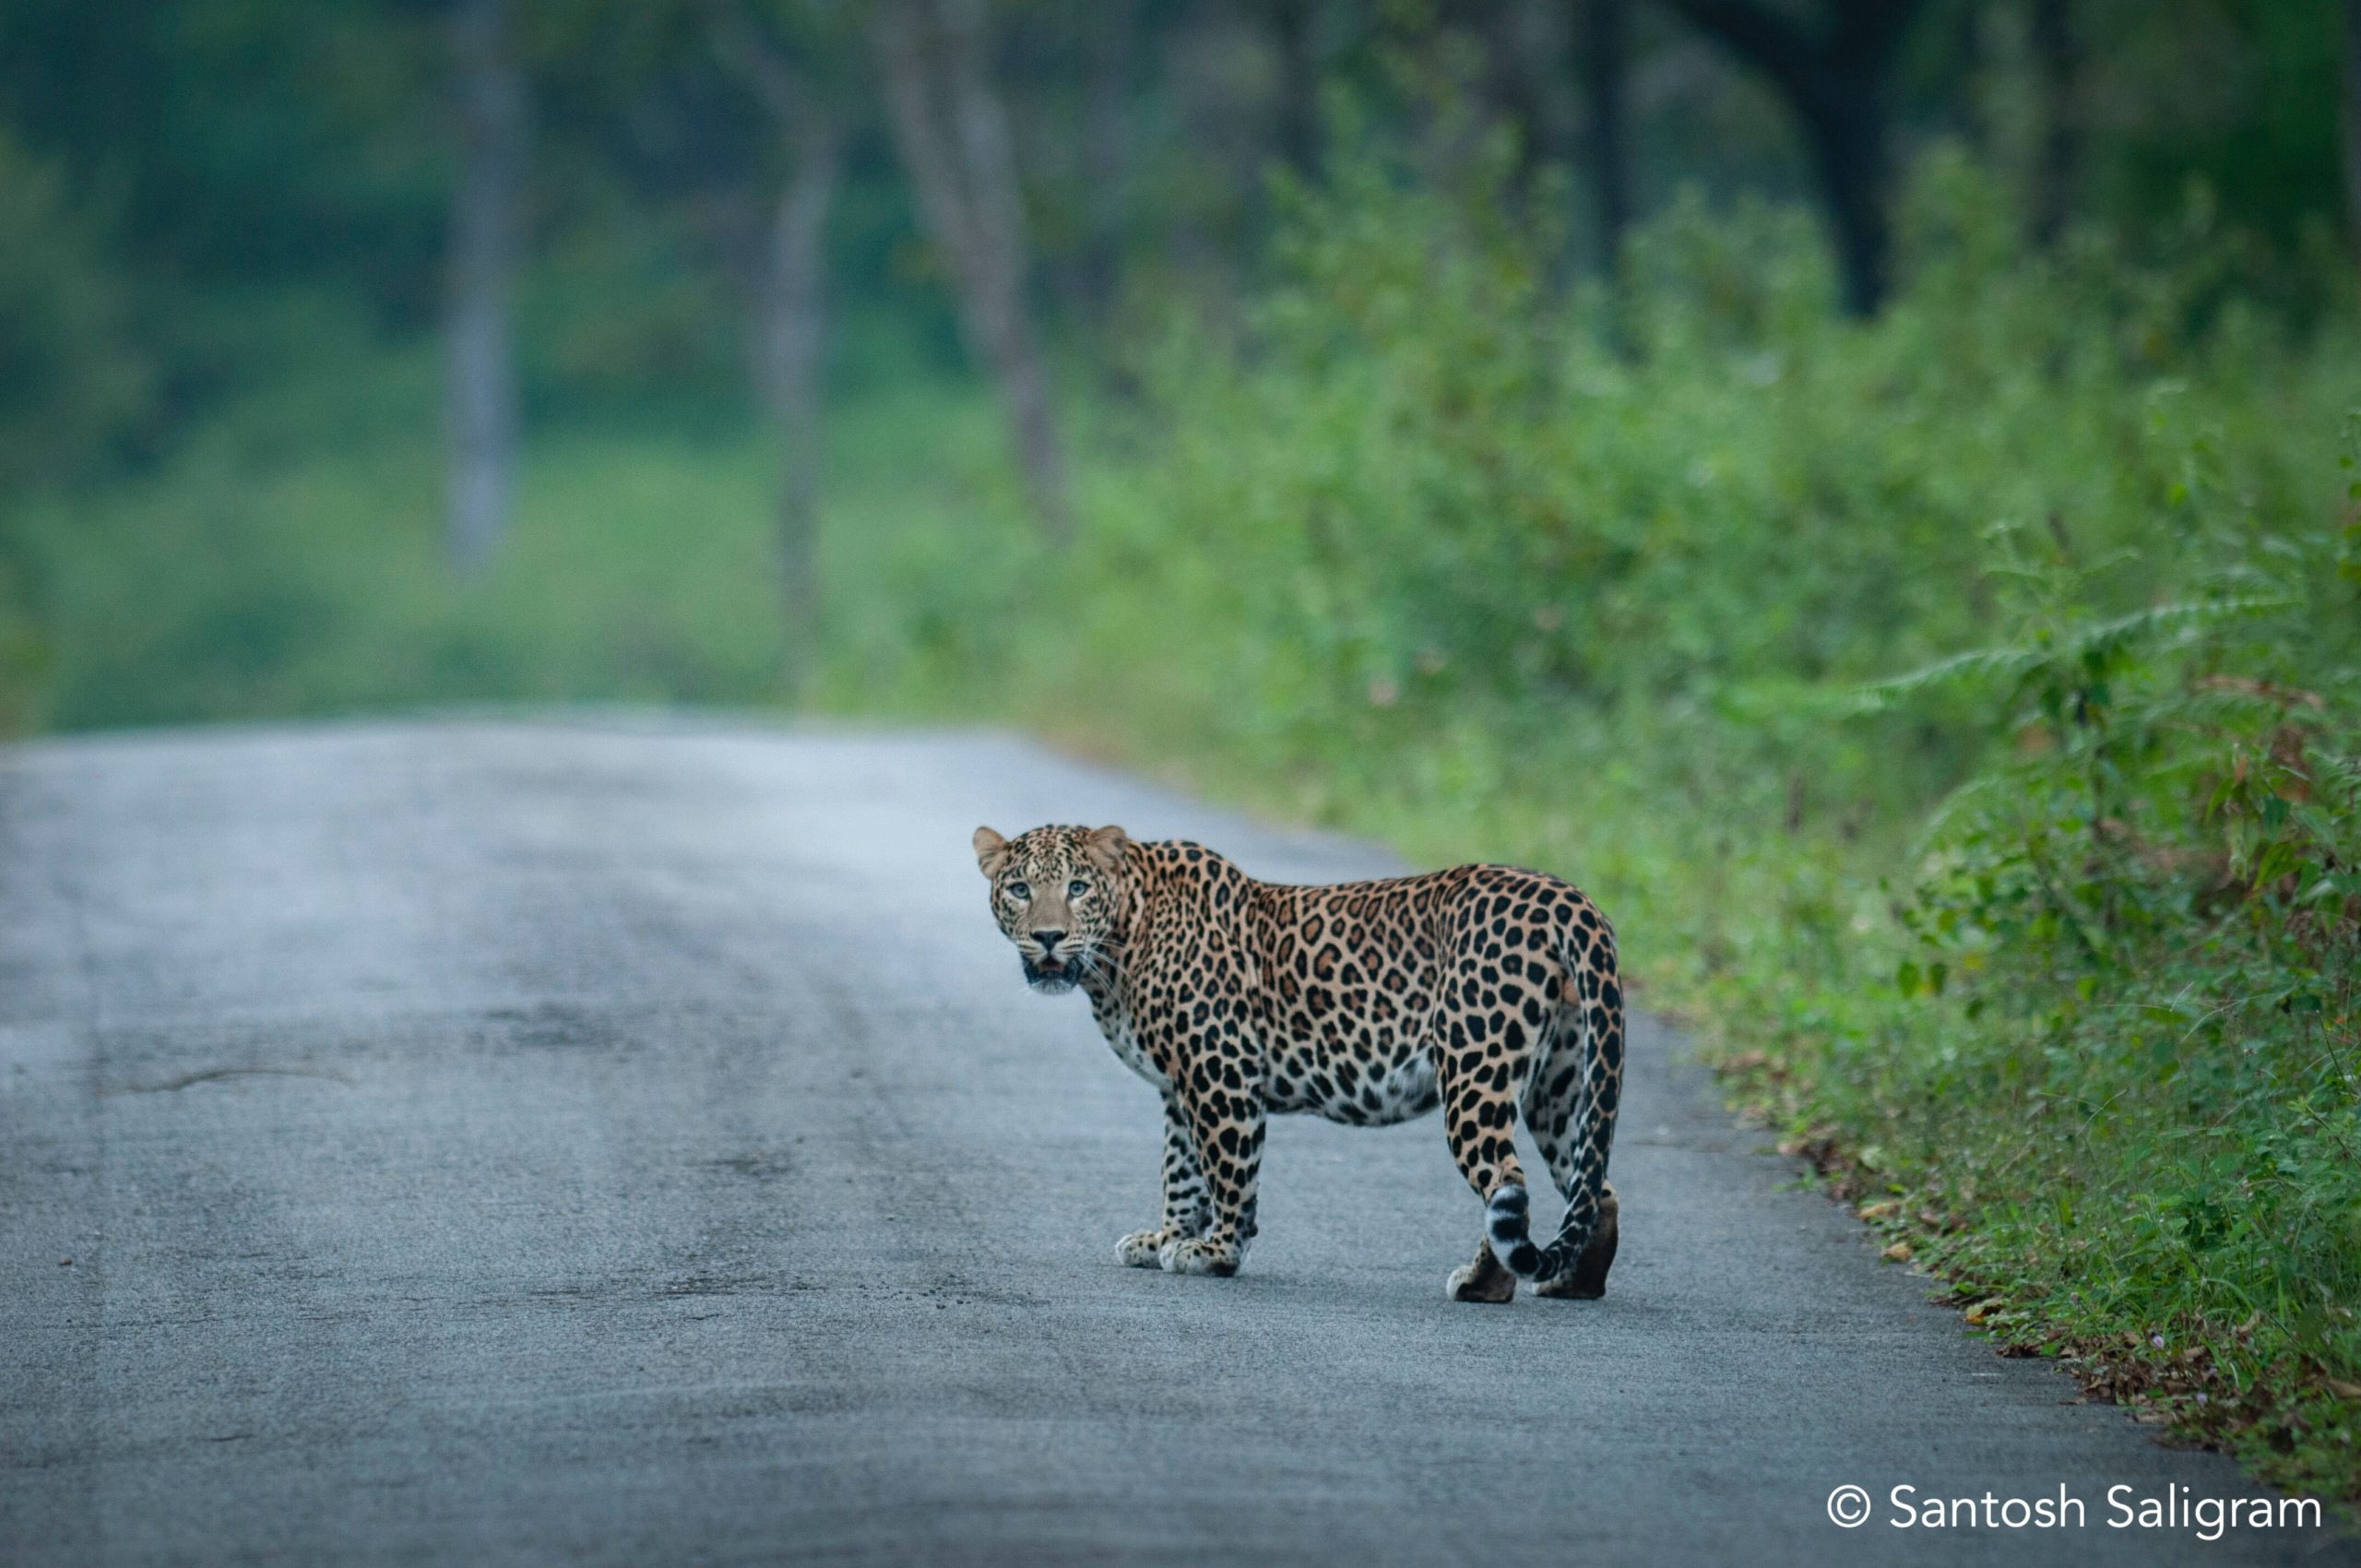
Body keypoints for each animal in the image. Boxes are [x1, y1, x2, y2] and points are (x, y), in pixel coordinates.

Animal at [971, 822, 1624, 1303]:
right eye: (1020, 890)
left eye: (1078, 888)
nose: (1049, 937)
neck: (1121, 945)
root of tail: (1565, 895)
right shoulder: (1178, 1089)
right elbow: (1180, 1171)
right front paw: (1165, 1238)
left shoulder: (1220, 1070)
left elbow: (1227, 1171)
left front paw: (1217, 1253)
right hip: (1561, 1080)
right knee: (1594, 1185)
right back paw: (1570, 1283)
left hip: (1474, 1066)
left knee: (1505, 1180)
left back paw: (1480, 1285)